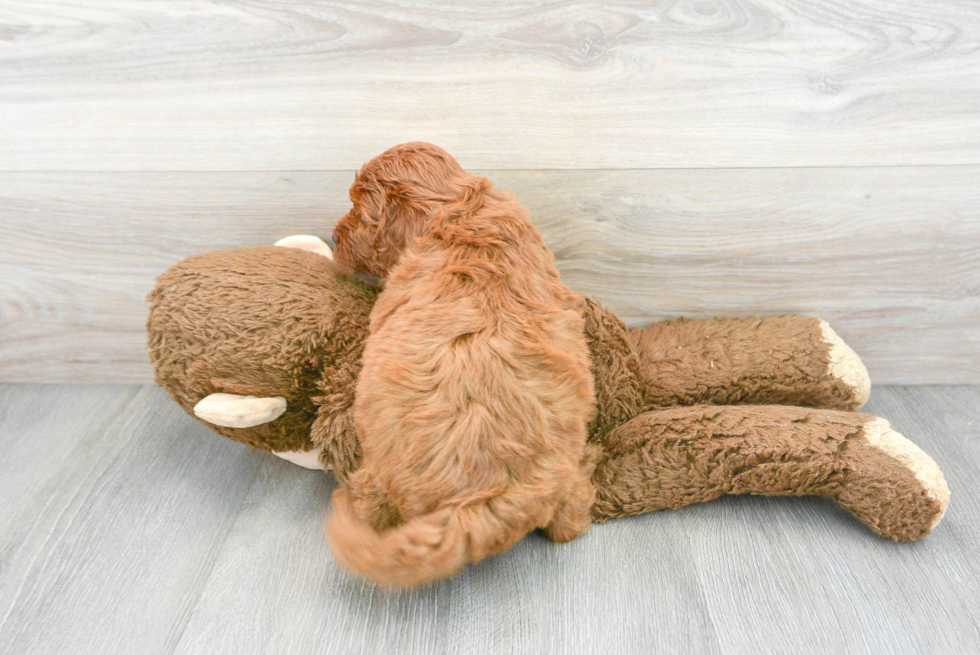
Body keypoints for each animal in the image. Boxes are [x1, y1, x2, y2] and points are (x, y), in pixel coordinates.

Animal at [330, 144, 592, 588]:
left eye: (360, 210)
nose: (332, 235)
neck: (459, 207)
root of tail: (476, 501)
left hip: (376, 471)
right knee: (567, 524)